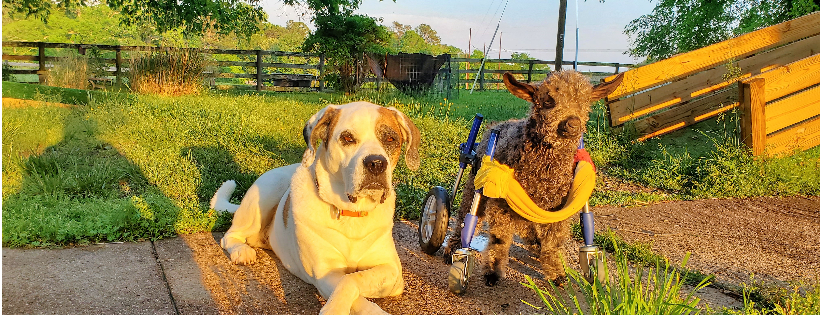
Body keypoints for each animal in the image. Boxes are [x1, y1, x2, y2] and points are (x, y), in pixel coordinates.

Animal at [211, 102, 420, 314]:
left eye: (390, 138)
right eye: (347, 138)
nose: (376, 163)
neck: (351, 213)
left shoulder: (392, 271)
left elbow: (353, 279)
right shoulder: (325, 274)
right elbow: (347, 283)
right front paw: (336, 308)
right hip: (267, 190)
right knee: (230, 235)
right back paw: (241, 251)